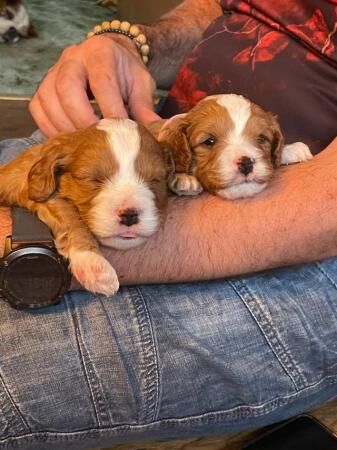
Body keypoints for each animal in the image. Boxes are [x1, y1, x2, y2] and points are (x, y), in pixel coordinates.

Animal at [0, 118, 168, 296]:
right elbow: (69, 213)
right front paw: (92, 263)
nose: (129, 215)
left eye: (156, 180)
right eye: (94, 179)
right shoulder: (30, 189)